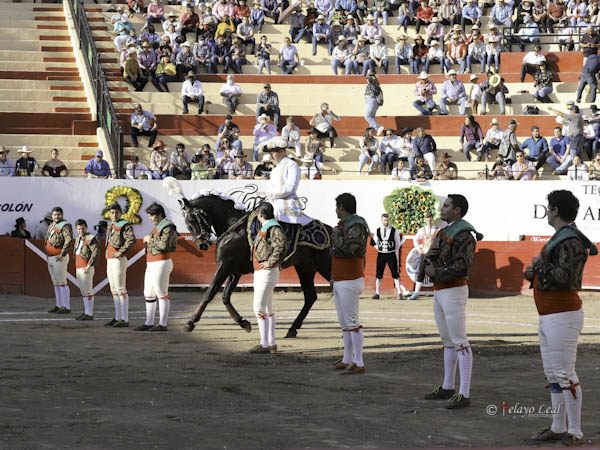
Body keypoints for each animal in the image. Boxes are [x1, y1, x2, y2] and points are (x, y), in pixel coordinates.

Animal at [180, 193, 336, 338]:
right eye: (187, 223)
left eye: (192, 220)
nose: (202, 245)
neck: (233, 227)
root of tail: (332, 231)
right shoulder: (234, 272)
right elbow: (225, 296)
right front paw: (243, 322)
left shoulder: (225, 266)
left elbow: (210, 293)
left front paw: (191, 322)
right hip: (305, 268)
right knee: (310, 297)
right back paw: (292, 329)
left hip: (325, 265)